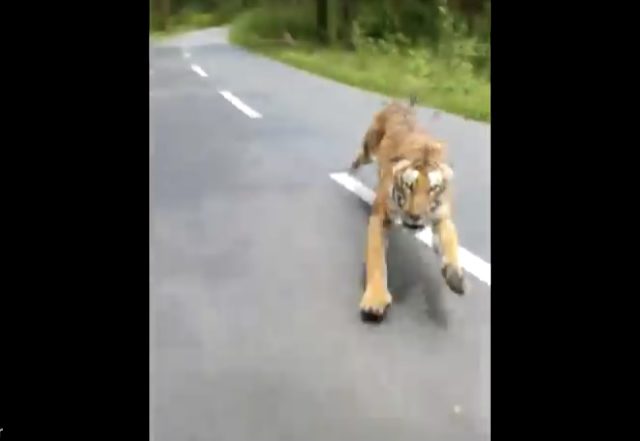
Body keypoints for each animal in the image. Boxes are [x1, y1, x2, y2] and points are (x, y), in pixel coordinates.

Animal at [348, 96, 468, 321]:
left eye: (432, 188)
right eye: (409, 186)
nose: (415, 216)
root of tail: (398, 102)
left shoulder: (442, 216)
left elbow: (451, 243)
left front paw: (455, 277)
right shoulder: (381, 216)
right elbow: (376, 259)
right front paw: (375, 300)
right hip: (369, 147)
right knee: (359, 157)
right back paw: (349, 173)